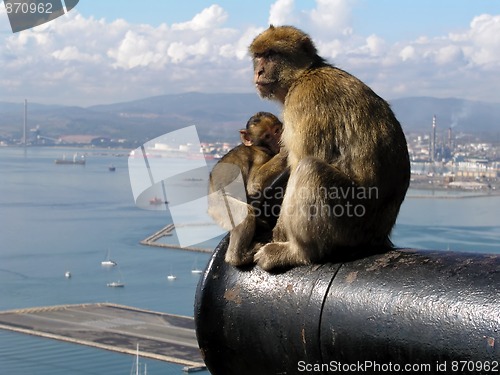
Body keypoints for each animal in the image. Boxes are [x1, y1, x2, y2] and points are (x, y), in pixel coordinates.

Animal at [208, 111, 286, 268]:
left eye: (276, 131)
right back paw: (238, 258)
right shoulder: (260, 157)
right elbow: (253, 185)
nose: (278, 140)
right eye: (267, 136)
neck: (258, 147)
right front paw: (284, 151)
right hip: (220, 207)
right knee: (244, 213)